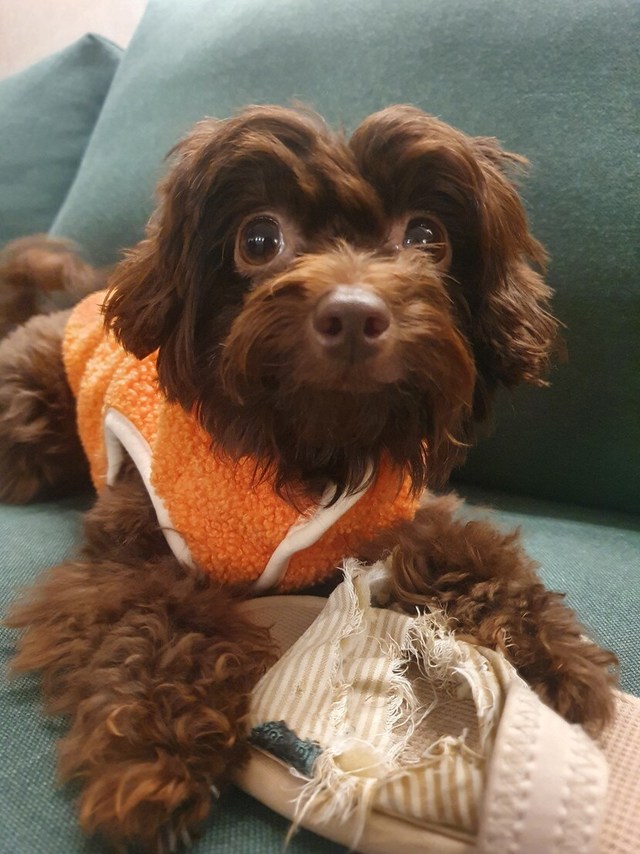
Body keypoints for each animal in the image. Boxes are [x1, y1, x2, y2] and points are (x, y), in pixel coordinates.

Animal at [0, 105, 617, 852]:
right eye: (259, 238)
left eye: (426, 235)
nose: (353, 313)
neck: (308, 445)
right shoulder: (128, 551)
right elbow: (163, 622)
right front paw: (151, 752)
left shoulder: (393, 512)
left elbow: (468, 551)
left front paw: (553, 652)